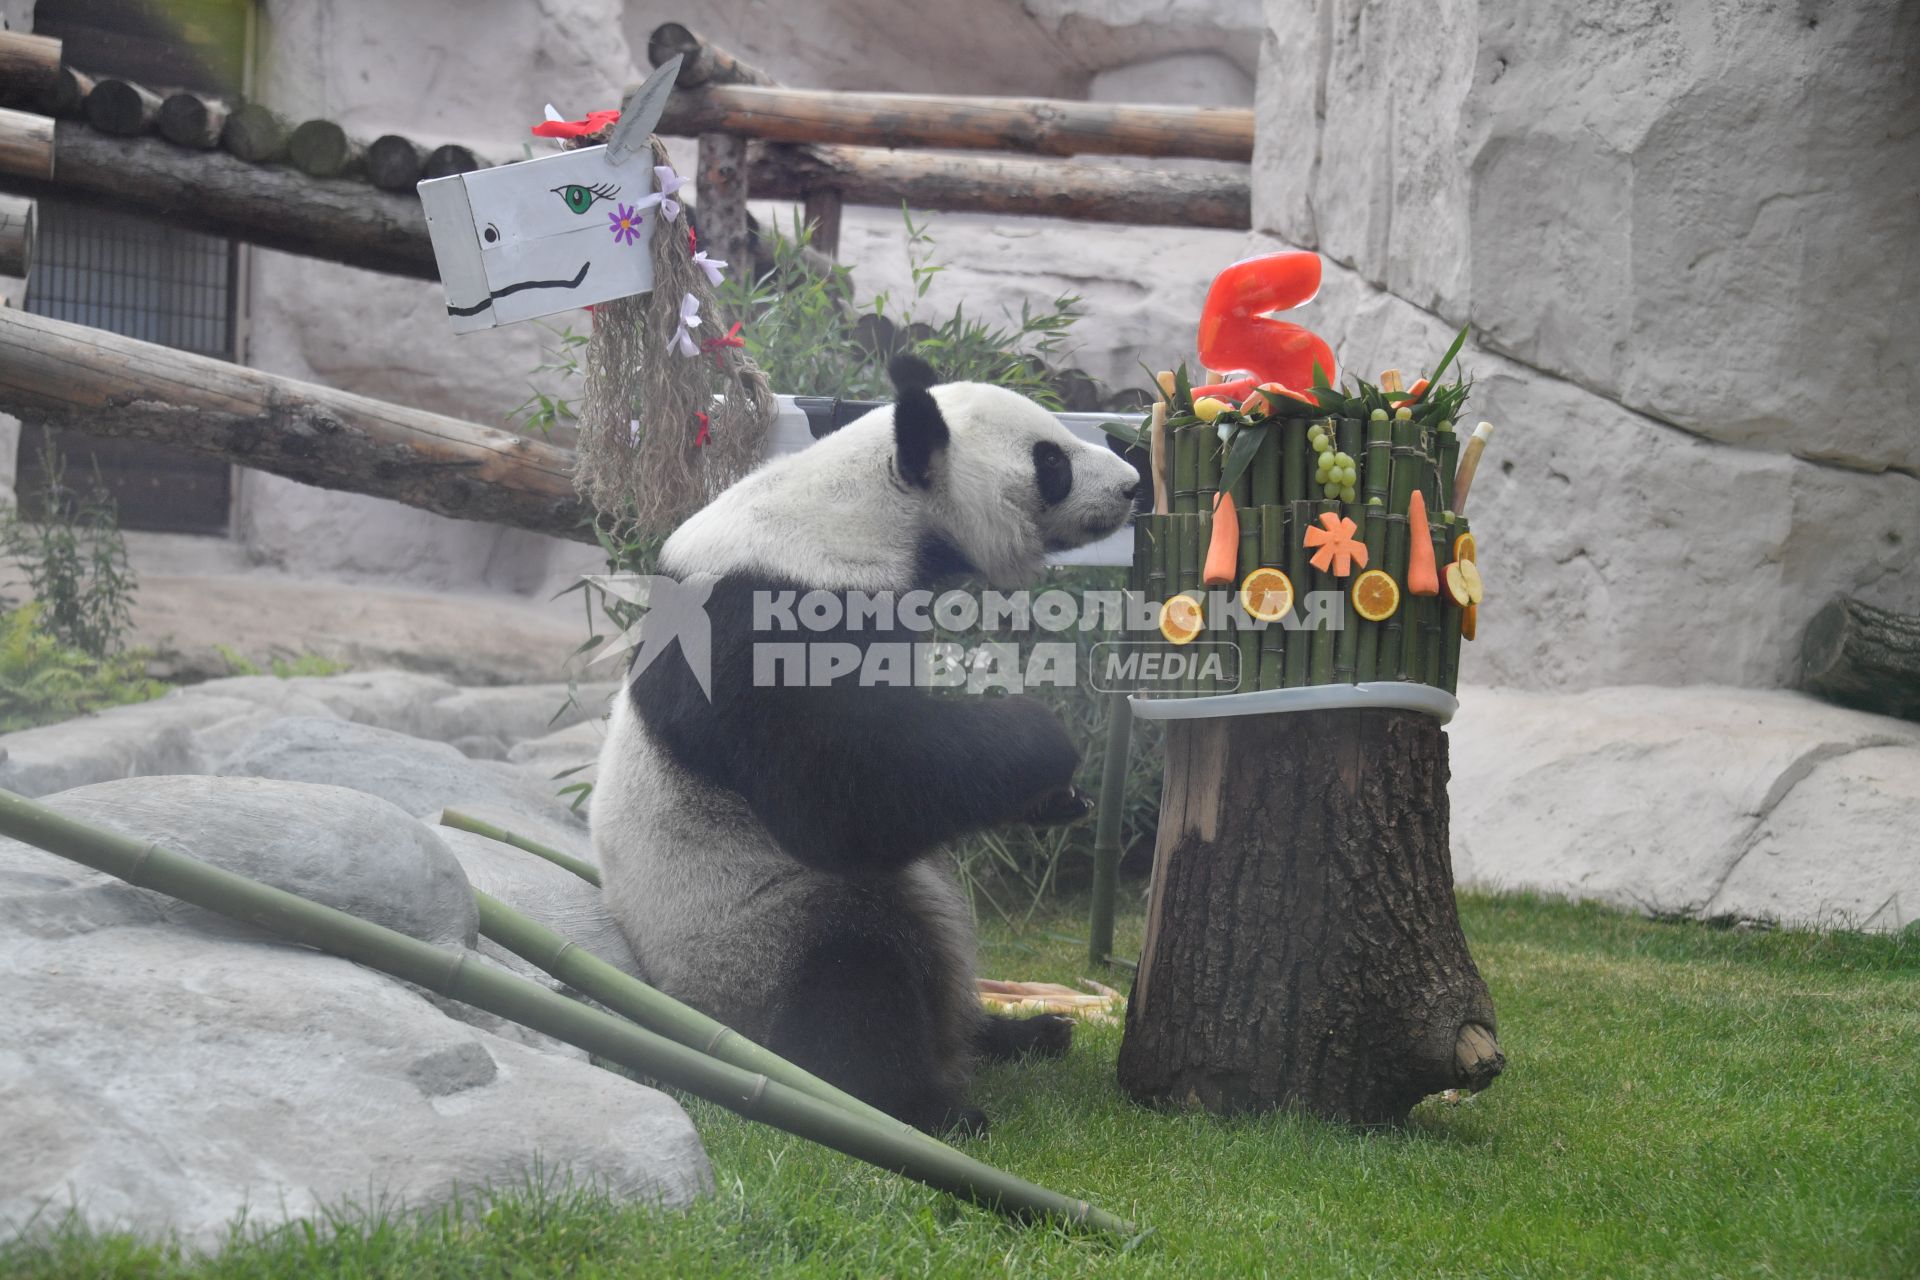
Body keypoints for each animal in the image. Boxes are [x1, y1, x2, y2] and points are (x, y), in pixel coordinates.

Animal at [595, 353, 1136, 1128]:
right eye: (1051, 460)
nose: (1132, 484)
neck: (868, 509)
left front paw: (1056, 798)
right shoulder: (768, 621)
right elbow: (845, 793)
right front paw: (1045, 740)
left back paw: (1027, 1032)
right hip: (745, 943)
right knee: (854, 962)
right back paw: (924, 1106)